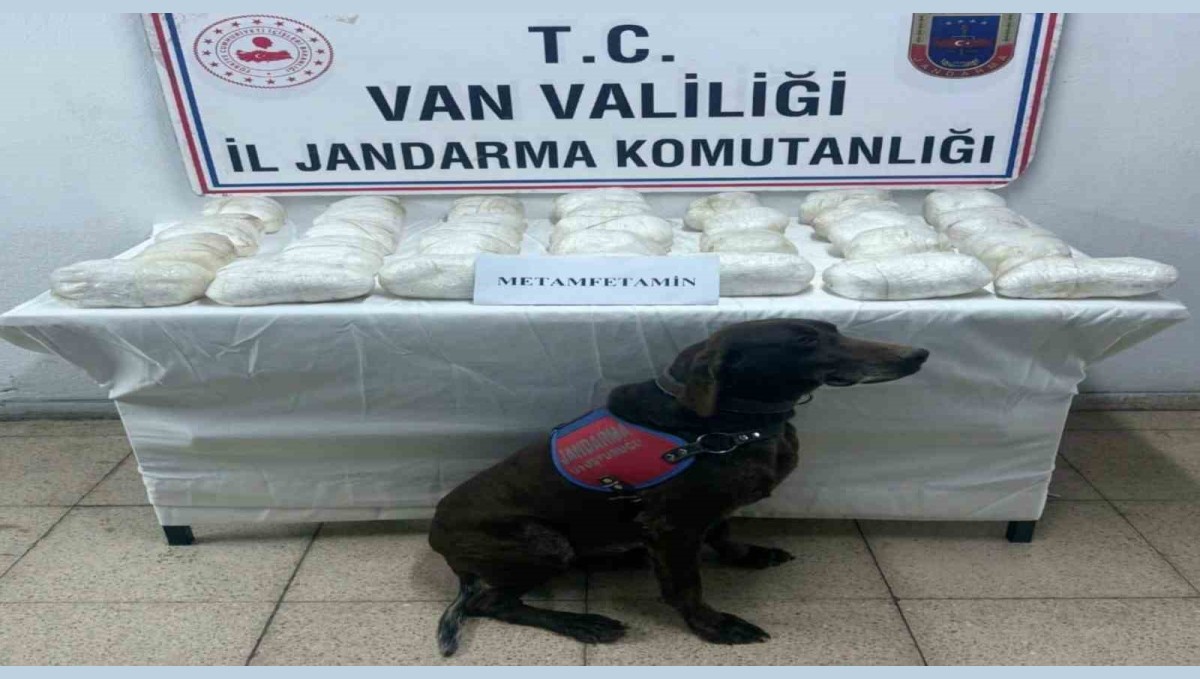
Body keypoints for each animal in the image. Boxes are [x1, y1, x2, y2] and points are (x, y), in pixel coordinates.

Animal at [429, 318, 928, 655]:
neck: (728, 423)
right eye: (806, 341)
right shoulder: (674, 526)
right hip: (543, 542)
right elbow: (687, 585)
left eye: (834, 331)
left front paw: (748, 555)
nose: (918, 354)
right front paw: (713, 625)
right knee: (494, 603)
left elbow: (724, 533)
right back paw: (584, 622)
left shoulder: (709, 511)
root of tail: (437, 541)